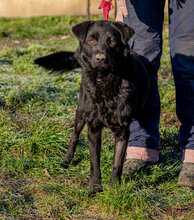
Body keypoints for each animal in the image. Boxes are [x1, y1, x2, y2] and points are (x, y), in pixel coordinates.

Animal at [35, 20, 150, 192]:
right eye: (92, 41)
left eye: (112, 42)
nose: (100, 58)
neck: (105, 80)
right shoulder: (93, 127)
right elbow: (94, 161)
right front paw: (95, 188)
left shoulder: (122, 131)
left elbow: (117, 164)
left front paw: (114, 188)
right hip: (81, 111)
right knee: (74, 136)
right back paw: (66, 161)